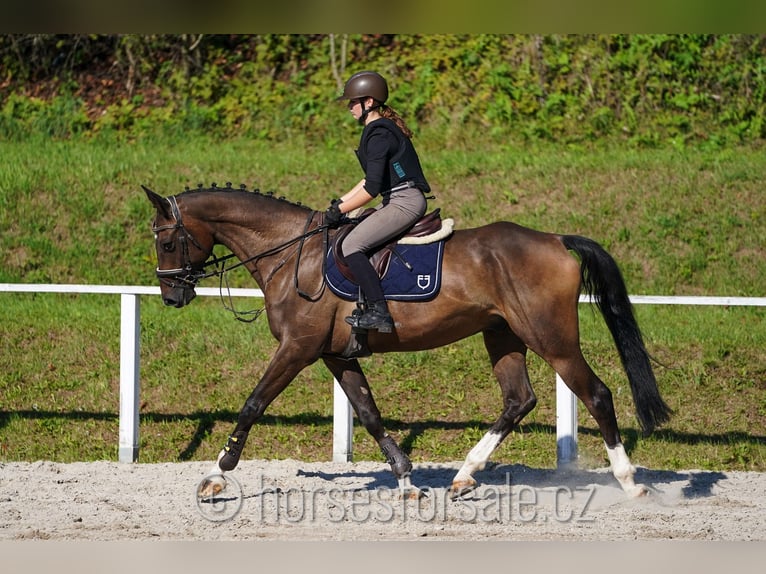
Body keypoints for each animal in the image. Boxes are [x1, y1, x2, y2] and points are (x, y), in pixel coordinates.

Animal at [144, 183, 672, 500]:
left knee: (596, 394)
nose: (172, 295)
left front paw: (218, 472)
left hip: (552, 338)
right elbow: (369, 412)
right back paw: (463, 475)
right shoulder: (335, 355)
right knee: (518, 399)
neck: (294, 253)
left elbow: (253, 403)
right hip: (502, 335)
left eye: (167, 242)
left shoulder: (297, 349)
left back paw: (630, 483)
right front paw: (405, 478)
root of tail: (555, 239)